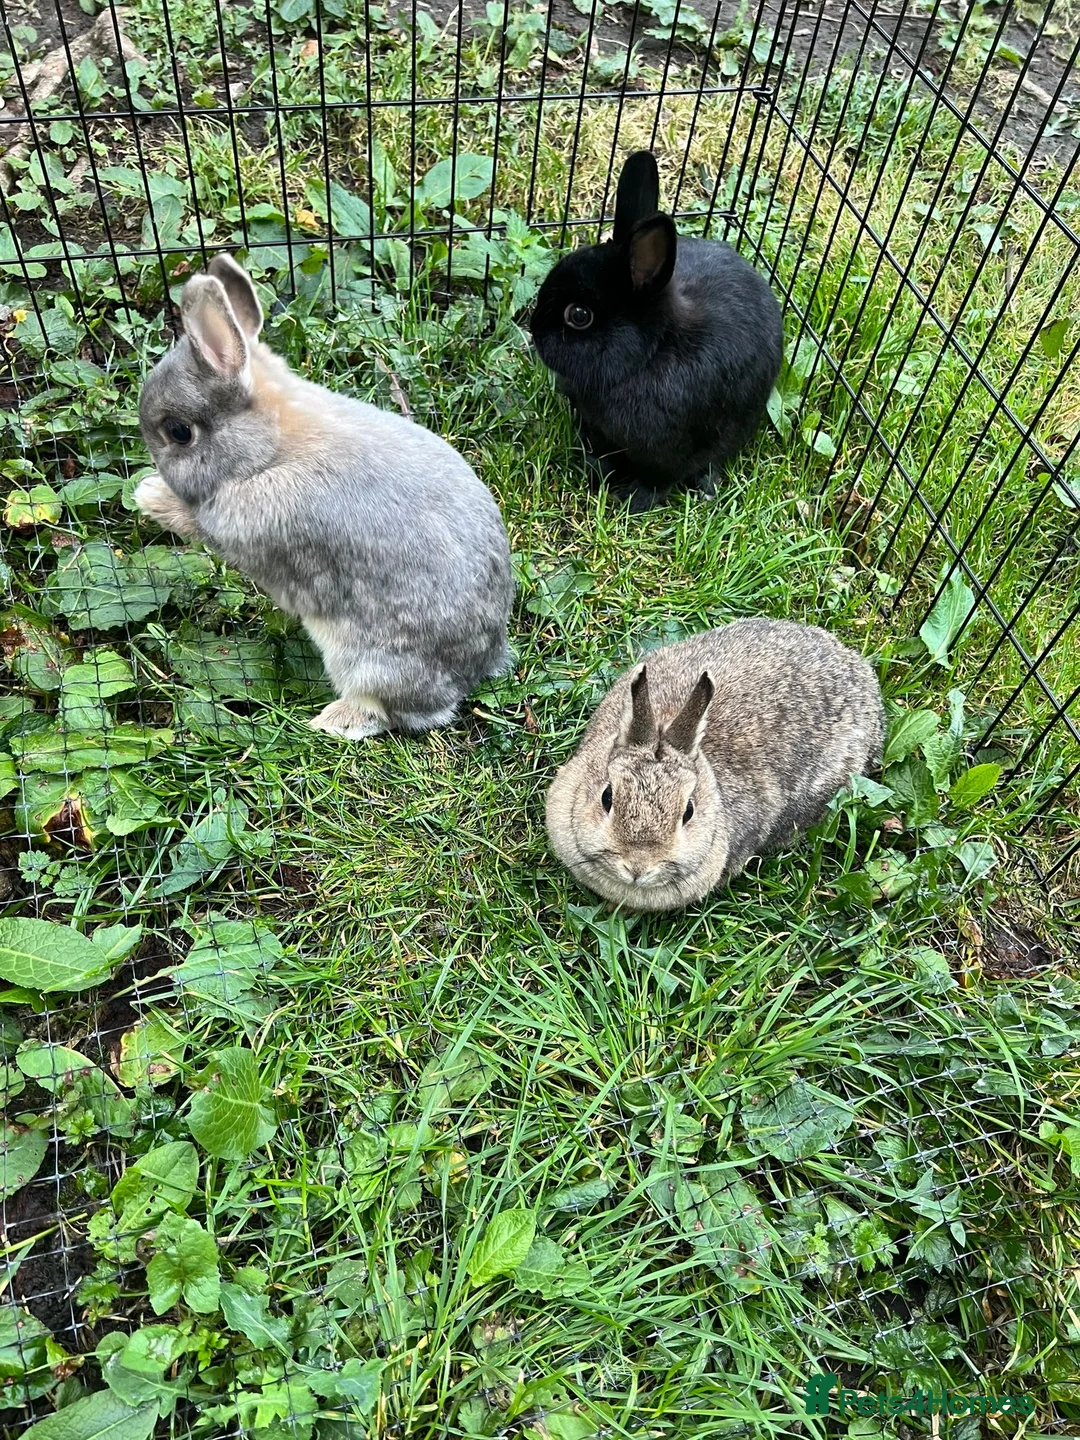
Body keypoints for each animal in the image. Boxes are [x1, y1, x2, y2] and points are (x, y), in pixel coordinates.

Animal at [135, 253, 514, 739]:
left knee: (388, 711)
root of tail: (476, 670)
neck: (269, 451)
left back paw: (329, 720)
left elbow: (197, 523)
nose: (150, 466)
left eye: (179, 433)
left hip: (362, 660)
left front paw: (149, 494)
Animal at [530, 150, 784, 512]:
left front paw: (633, 501)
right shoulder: (599, 432)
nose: (534, 329)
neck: (647, 358)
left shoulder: (675, 453)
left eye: (578, 315)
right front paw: (597, 477)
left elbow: (659, 480)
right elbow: (603, 456)